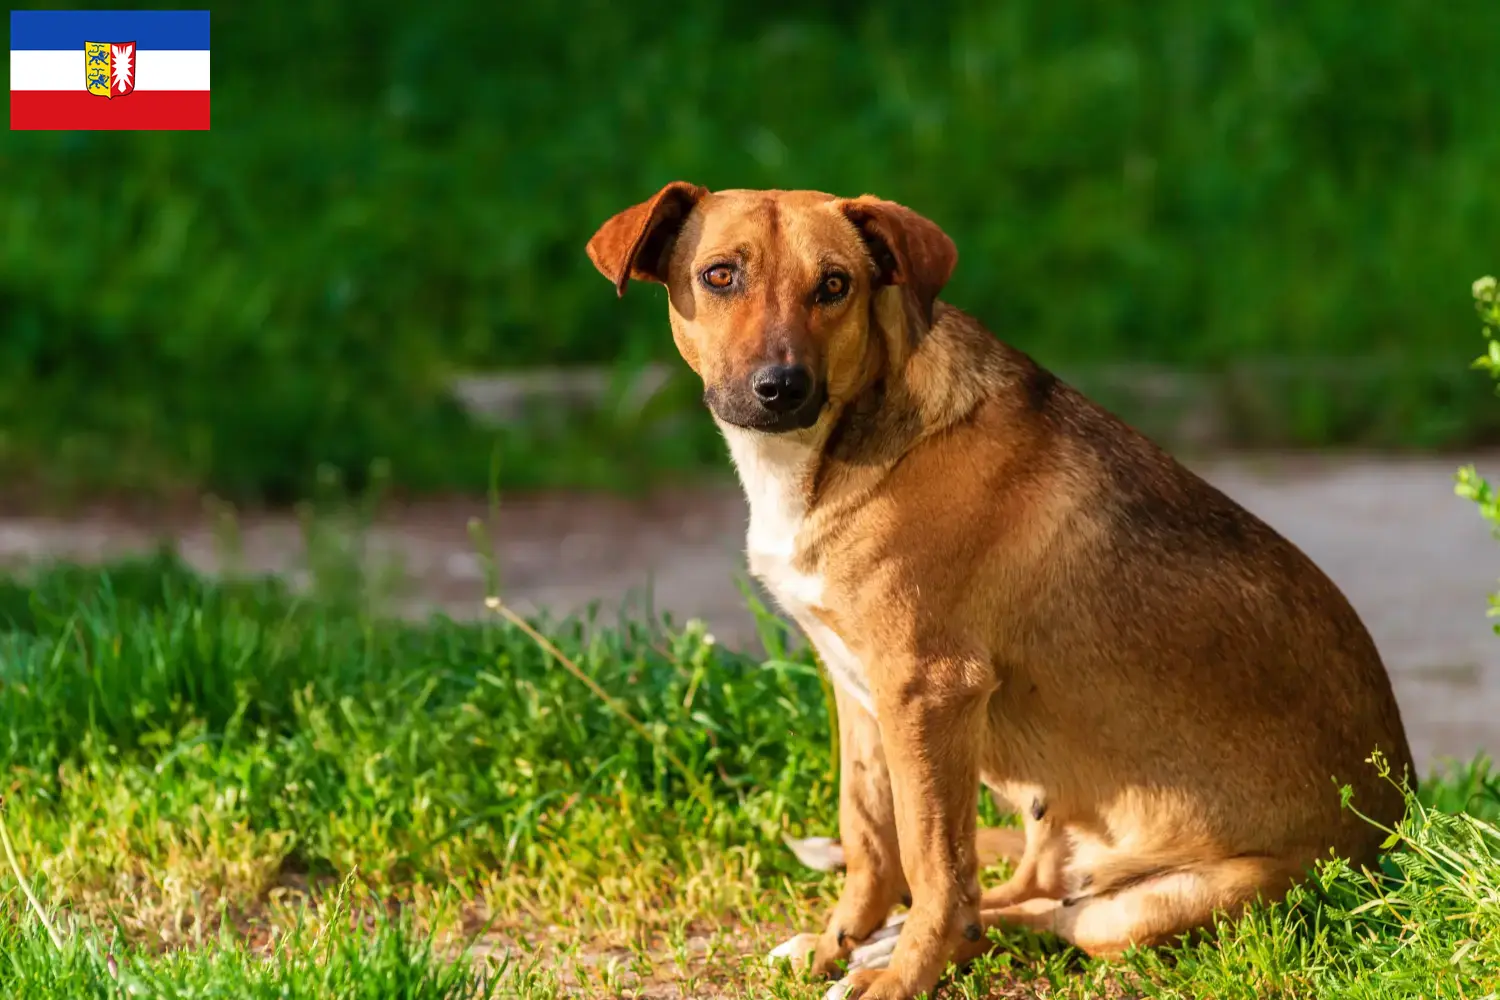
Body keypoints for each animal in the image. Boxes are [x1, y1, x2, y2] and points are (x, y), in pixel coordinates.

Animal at [579, 185, 1410, 1000]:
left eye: (835, 285)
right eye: (719, 275)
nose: (780, 389)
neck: (832, 447)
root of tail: (1397, 834)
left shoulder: (930, 691)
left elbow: (932, 866)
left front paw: (902, 979)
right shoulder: (861, 692)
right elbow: (871, 840)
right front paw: (836, 943)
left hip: (1151, 907)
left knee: (1040, 913)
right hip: (1053, 821)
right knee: (1018, 895)